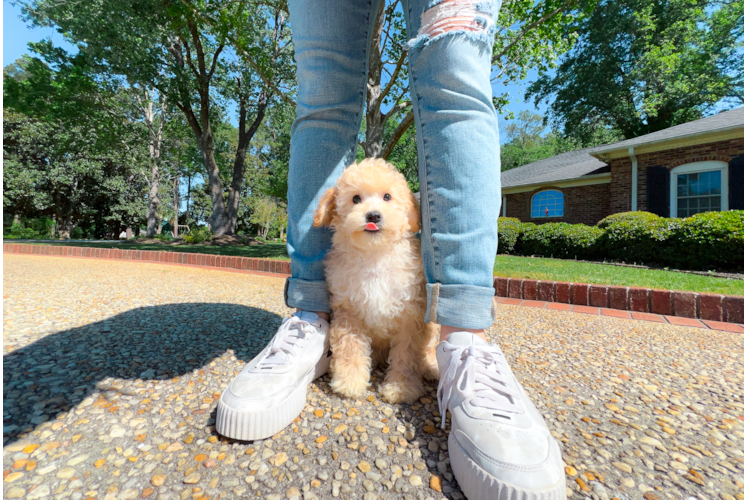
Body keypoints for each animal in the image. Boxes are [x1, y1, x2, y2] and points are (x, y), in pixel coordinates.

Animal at [310, 158, 438, 404]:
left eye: (387, 197)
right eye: (355, 198)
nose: (373, 216)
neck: (374, 254)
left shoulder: (411, 314)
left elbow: (407, 353)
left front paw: (401, 388)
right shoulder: (348, 310)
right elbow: (350, 347)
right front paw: (349, 382)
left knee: (429, 348)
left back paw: (432, 367)